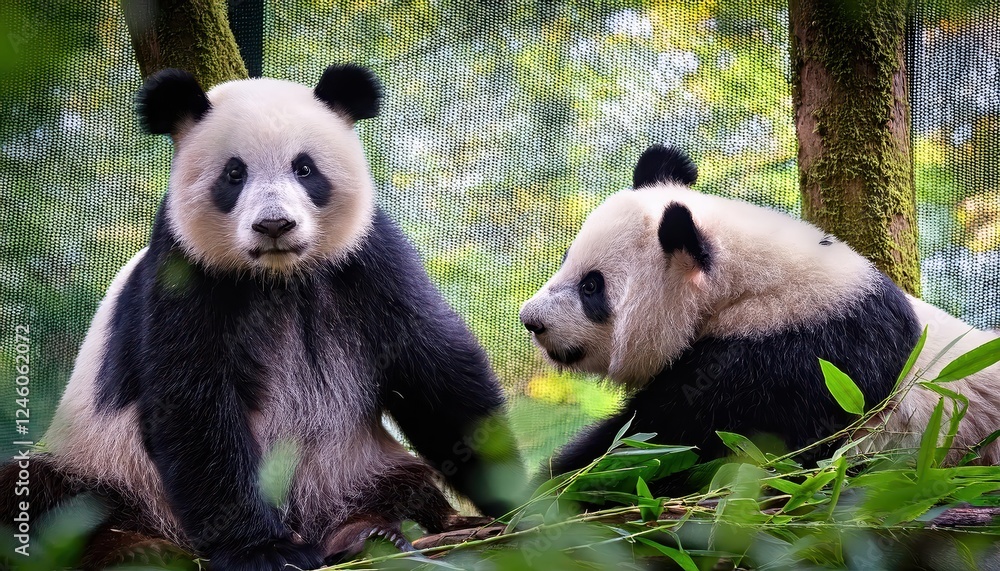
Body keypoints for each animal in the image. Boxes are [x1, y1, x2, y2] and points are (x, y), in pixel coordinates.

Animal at [7, 65, 523, 570]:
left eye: (305, 168)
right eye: (234, 174)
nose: (275, 225)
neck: (278, 276)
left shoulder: (368, 260)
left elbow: (434, 373)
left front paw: (516, 500)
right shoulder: (185, 274)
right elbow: (192, 403)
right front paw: (265, 550)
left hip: (357, 461)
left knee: (405, 486)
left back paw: (378, 531)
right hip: (100, 460)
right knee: (44, 496)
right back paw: (141, 551)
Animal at [520, 144, 1000, 482]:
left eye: (591, 287)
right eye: (567, 259)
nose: (531, 320)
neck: (747, 283)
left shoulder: (793, 357)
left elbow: (673, 440)